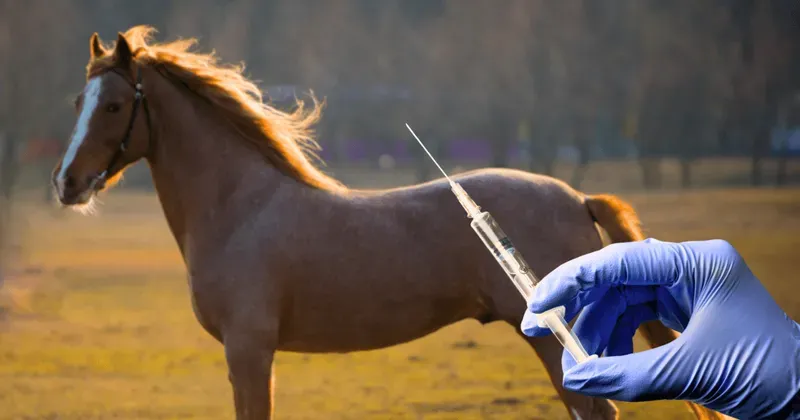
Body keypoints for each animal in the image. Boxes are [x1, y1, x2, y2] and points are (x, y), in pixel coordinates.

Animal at [51, 26, 726, 420]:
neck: (240, 208)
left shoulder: (249, 350)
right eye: (79, 101)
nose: (65, 183)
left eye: (114, 105)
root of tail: (577, 197)